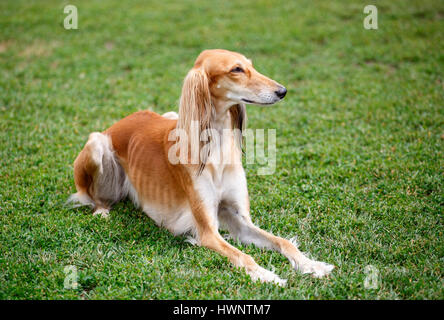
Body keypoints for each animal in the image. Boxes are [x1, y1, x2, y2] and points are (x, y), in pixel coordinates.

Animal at [69, 48, 332, 284]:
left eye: (251, 65)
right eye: (236, 69)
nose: (282, 91)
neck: (217, 147)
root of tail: (122, 120)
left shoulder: (240, 219)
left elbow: (282, 241)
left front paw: (311, 265)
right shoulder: (207, 232)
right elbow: (242, 256)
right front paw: (266, 274)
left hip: (171, 114)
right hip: (96, 144)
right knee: (87, 194)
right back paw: (102, 210)